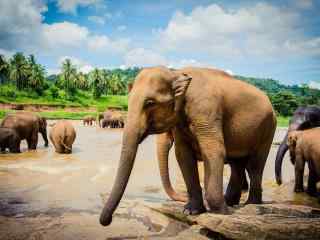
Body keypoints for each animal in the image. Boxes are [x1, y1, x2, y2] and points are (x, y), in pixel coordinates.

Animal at [99, 66, 276, 226]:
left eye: (150, 103)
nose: (107, 221)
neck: (176, 72)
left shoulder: (207, 110)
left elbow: (214, 151)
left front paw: (220, 213)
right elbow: (183, 156)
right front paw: (191, 211)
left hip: (268, 129)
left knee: (255, 166)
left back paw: (250, 204)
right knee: (237, 164)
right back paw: (231, 202)